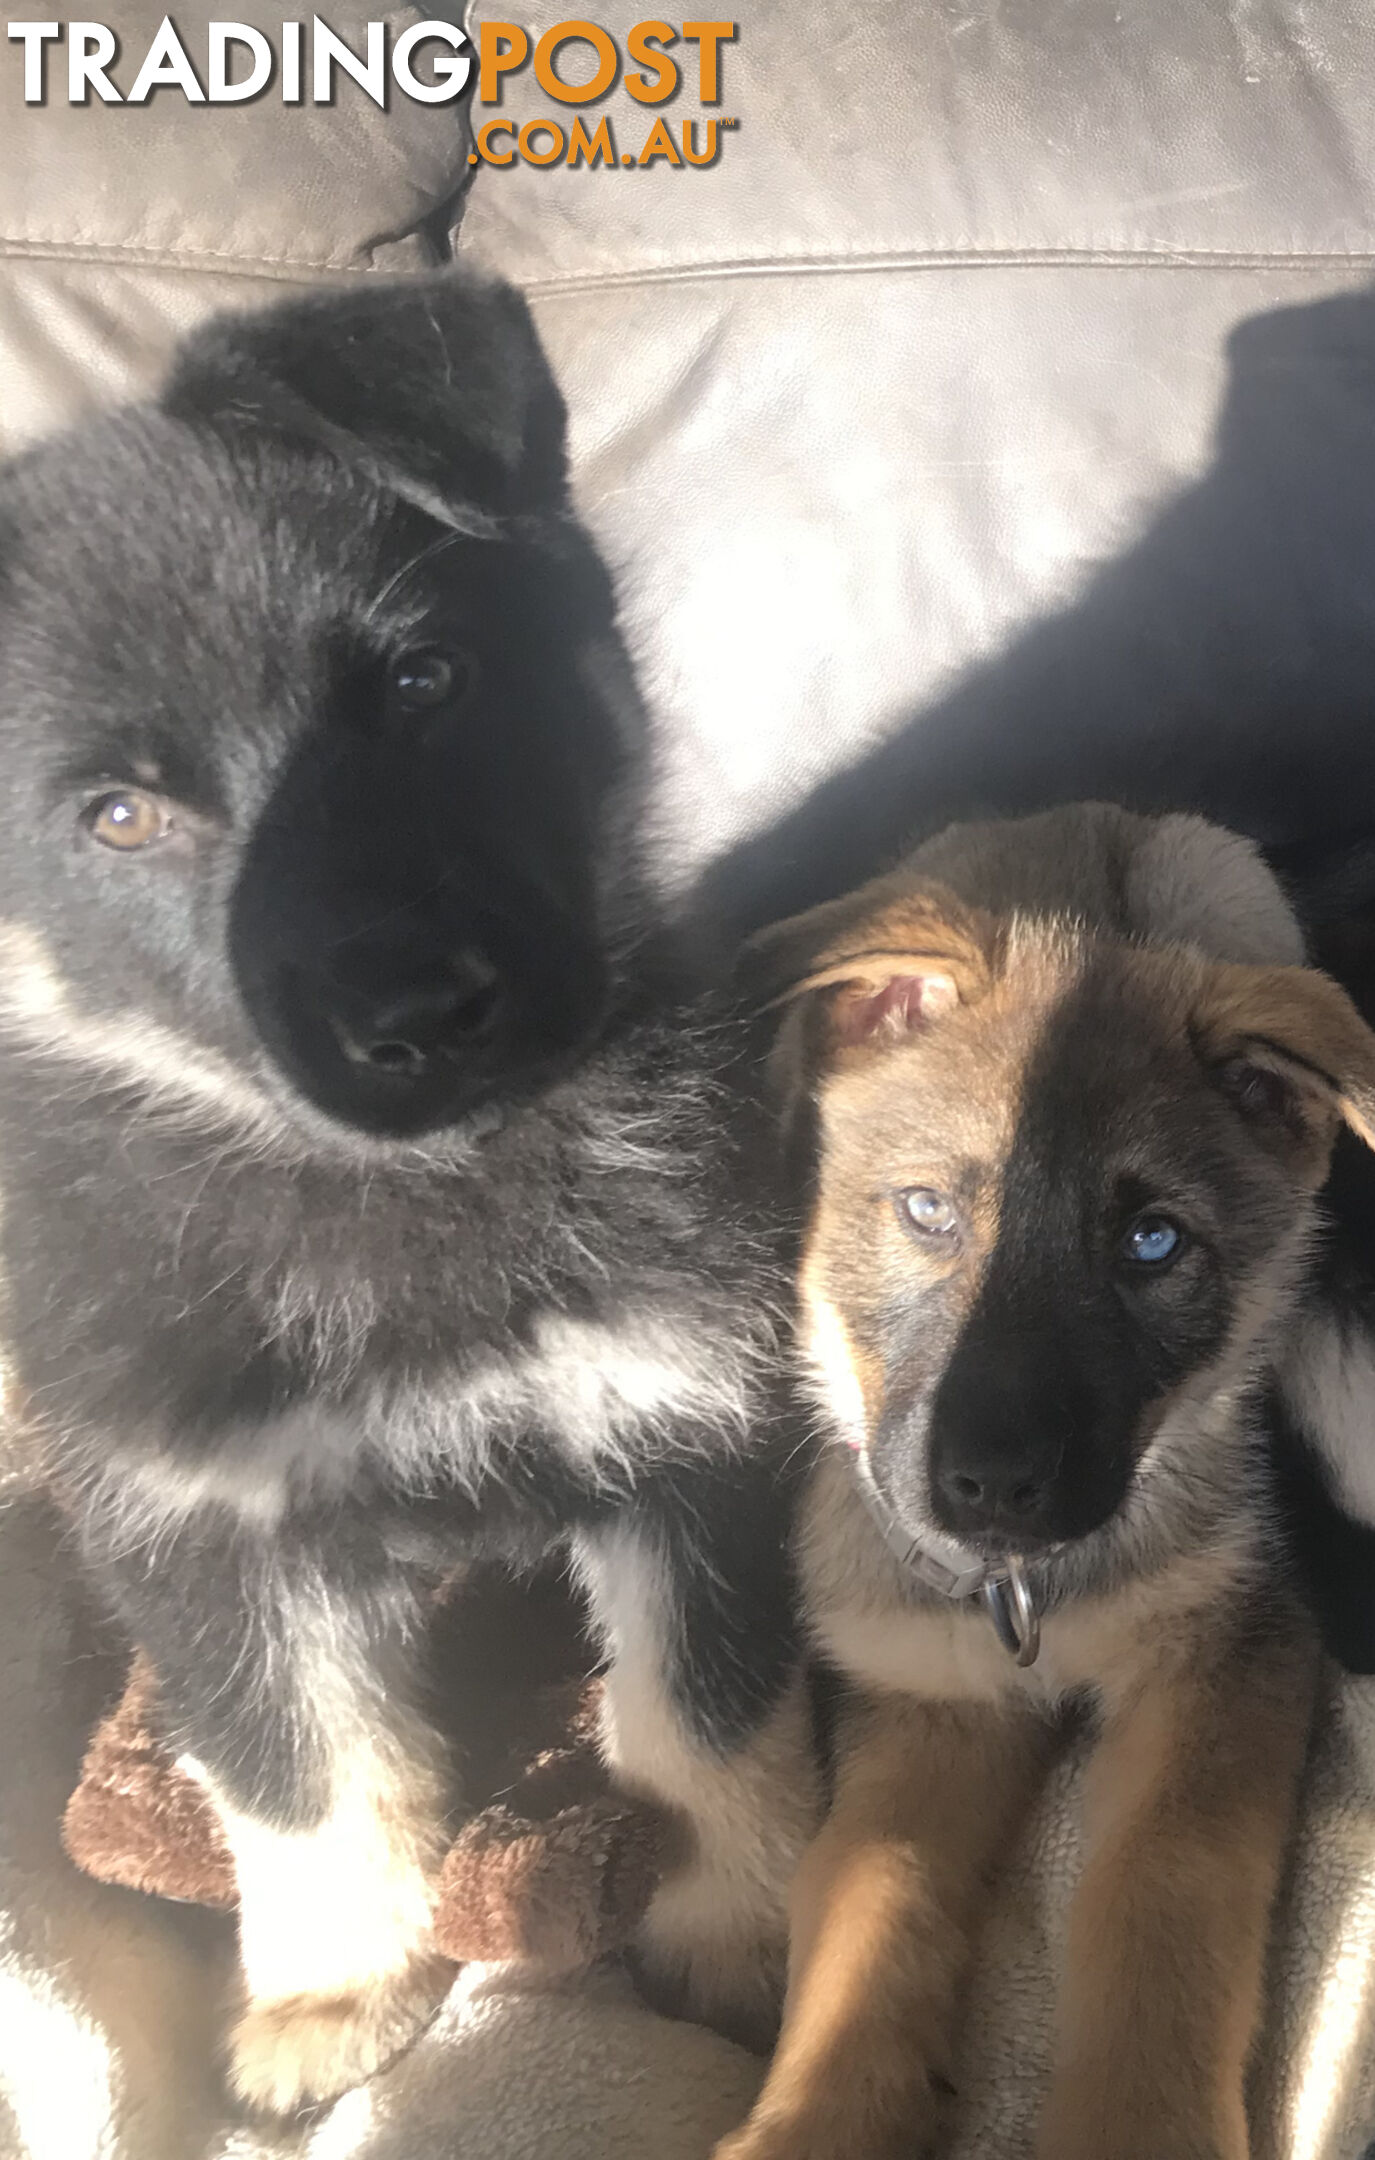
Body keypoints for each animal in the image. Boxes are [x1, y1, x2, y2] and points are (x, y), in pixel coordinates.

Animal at [712, 807, 1364, 2160]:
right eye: (926, 1211)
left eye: (1153, 1244)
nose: (990, 1491)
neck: (1028, 1600)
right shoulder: (927, 1697)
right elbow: (869, 1884)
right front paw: (820, 2118)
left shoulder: (1221, 1649)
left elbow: (1163, 1881)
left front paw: (1140, 2125)